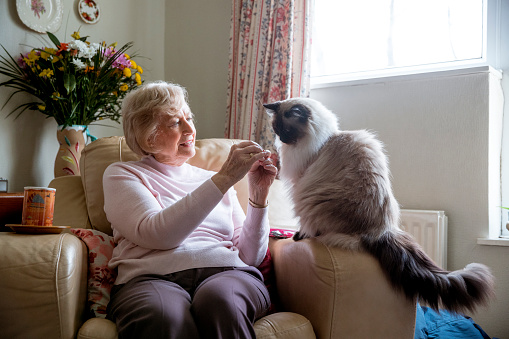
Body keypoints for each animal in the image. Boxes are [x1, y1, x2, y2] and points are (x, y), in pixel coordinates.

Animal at [264, 97, 494, 314]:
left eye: (286, 130)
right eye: (277, 130)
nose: (281, 139)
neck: (325, 139)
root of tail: (381, 231)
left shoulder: (299, 185)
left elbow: (303, 224)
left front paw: (297, 235)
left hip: (312, 203)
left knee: (316, 228)